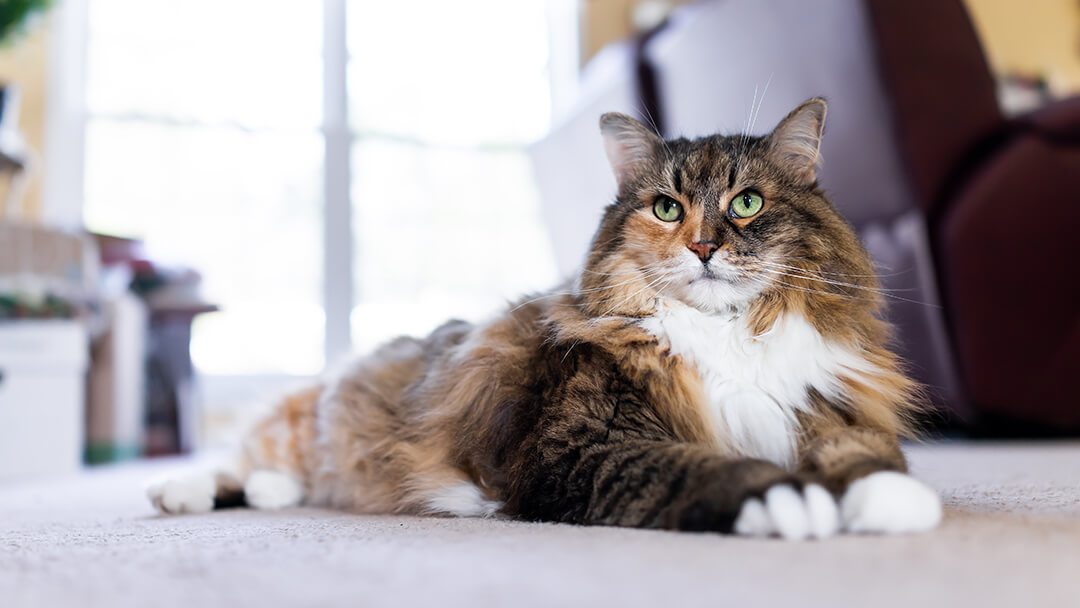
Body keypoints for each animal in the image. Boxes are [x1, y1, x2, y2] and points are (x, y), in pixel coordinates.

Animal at [147, 97, 941, 539]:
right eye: (666, 208)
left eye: (746, 203)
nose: (703, 246)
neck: (726, 336)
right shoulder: (582, 445)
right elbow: (701, 466)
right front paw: (785, 500)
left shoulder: (820, 406)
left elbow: (864, 455)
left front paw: (891, 500)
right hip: (301, 423)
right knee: (238, 458)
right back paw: (177, 492)